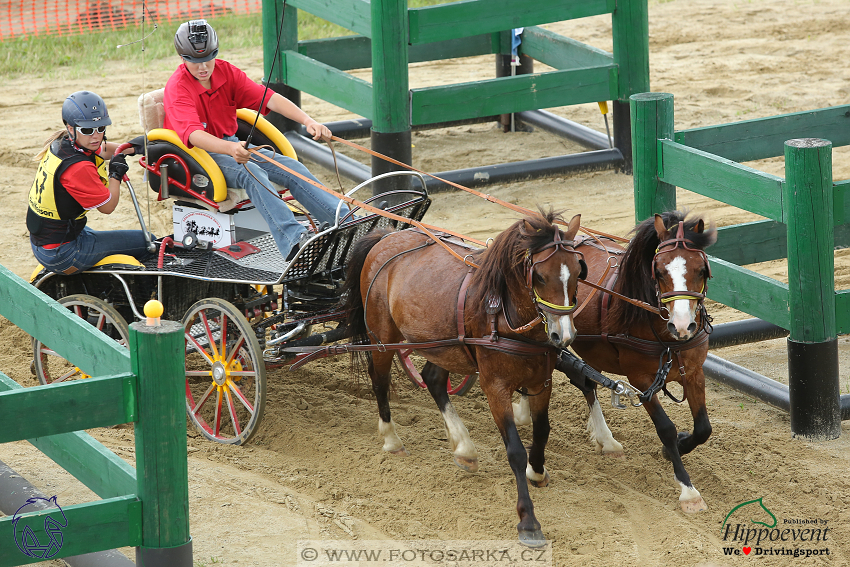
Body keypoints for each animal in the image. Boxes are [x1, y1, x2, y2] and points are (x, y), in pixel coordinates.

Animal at [338, 211, 584, 548]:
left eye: (577, 272)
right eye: (540, 277)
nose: (564, 336)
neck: (502, 314)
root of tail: (386, 236)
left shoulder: (540, 381)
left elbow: (543, 430)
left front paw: (536, 471)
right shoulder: (495, 386)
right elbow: (515, 450)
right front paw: (528, 521)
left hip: (443, 345)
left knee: (433, 379)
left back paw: (464, 448)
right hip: (382, 337)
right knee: (380, 380)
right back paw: (391, 438)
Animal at [568, 212, 712, 516]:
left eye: (701, 270)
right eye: (658, 271)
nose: (683, 326)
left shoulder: (694, 372)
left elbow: (703, 427)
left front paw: (679, 446)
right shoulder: (641, 380)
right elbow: (665, 429)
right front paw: (688, 491)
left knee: (585, 383)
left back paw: (605, 440)